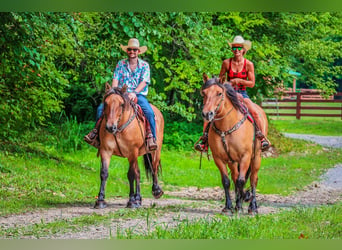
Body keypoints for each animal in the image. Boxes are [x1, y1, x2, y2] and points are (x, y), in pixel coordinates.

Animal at [200, 72, 268, 213]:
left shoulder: (245, 157)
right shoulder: (219, 158)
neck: (226, 127)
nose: (207, 114)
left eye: (219, 93)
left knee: (253, 179)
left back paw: (252, 206)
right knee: (235, 177)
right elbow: (227, 181)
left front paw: (241, 203)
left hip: (256, 157)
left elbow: (242, 181)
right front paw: (229, 206)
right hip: (232, 161)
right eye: (203, 93)